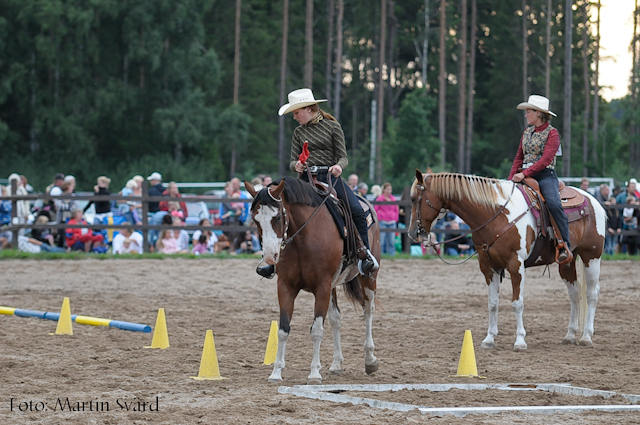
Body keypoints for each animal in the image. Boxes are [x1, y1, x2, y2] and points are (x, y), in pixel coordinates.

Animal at [245, 176, 380, 384]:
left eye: (277, 217)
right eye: (255, 219)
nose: (269, 257)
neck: (304, 238)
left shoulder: (321, 287)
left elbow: (316, 330)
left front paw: (315, 373)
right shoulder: (285, 287)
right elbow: (283, 329)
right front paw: (276, 372)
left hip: (368, 278)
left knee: (368, 310)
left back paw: (370, 359)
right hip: (333, 286)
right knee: (335, 318)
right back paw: (336, 364)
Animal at [408, 167, 608, 350]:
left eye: (413, 199)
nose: (412, 233)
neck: (495, 214)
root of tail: (593, 201)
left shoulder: (515, 265)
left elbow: (517, 303)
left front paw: (520, 340)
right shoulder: (488, 266)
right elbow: (493, 303)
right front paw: (489, 339)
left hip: (591, 256)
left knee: (592, 294)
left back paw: (586, 336)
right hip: (567, 261)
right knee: (574, 293)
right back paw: (570, 335)